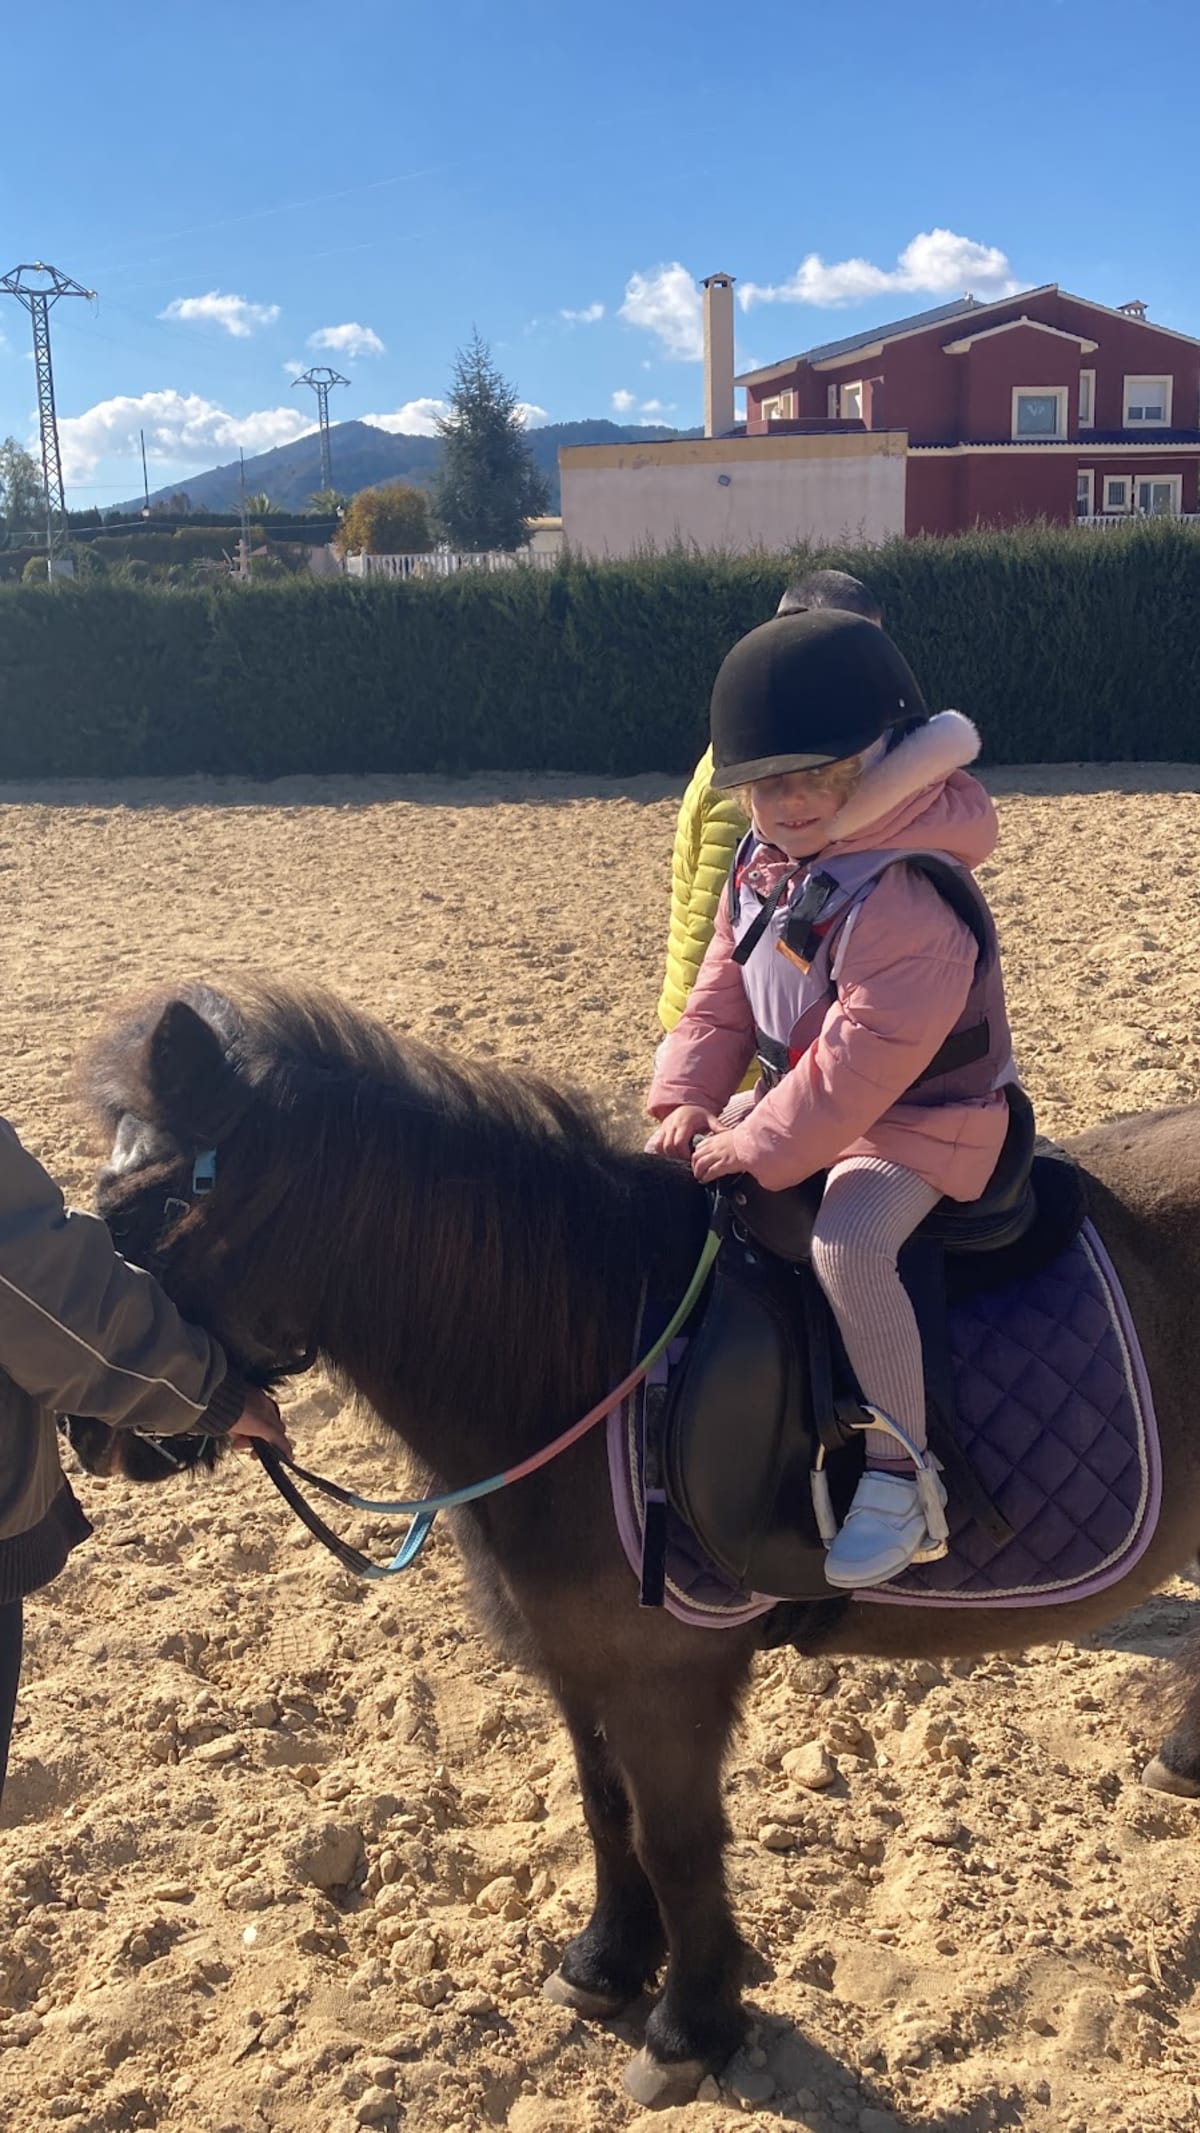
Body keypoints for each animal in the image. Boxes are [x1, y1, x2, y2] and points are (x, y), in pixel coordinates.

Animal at [70, 978, 1200, 2106]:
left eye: (151, 1208)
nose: (86, 1432)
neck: (592, 1350)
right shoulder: (578, 1664)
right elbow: (604, 1810)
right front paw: (606, 1963)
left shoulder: (667, 1678)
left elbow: (677, 1842)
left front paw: (691, 2024)